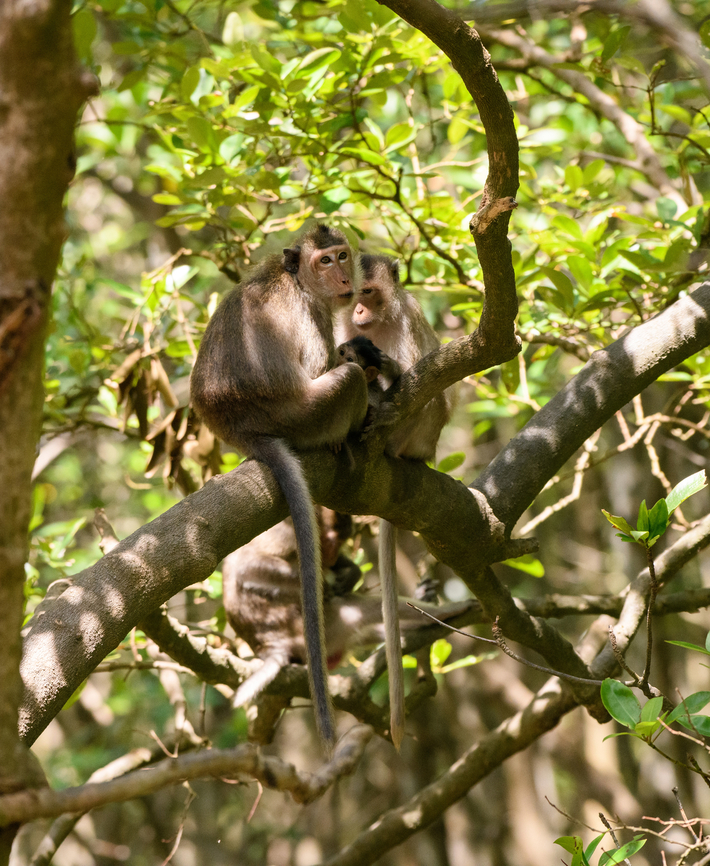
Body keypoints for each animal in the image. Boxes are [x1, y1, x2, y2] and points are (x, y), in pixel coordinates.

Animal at [190, 224, 369, 748]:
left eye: (342, 255)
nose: (345, 277)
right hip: (306, 415)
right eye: (325, 261)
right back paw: (353, 430)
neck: (299, 281)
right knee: (346, 379)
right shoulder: (310, 317)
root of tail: (244, 427)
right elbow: (320, 367)